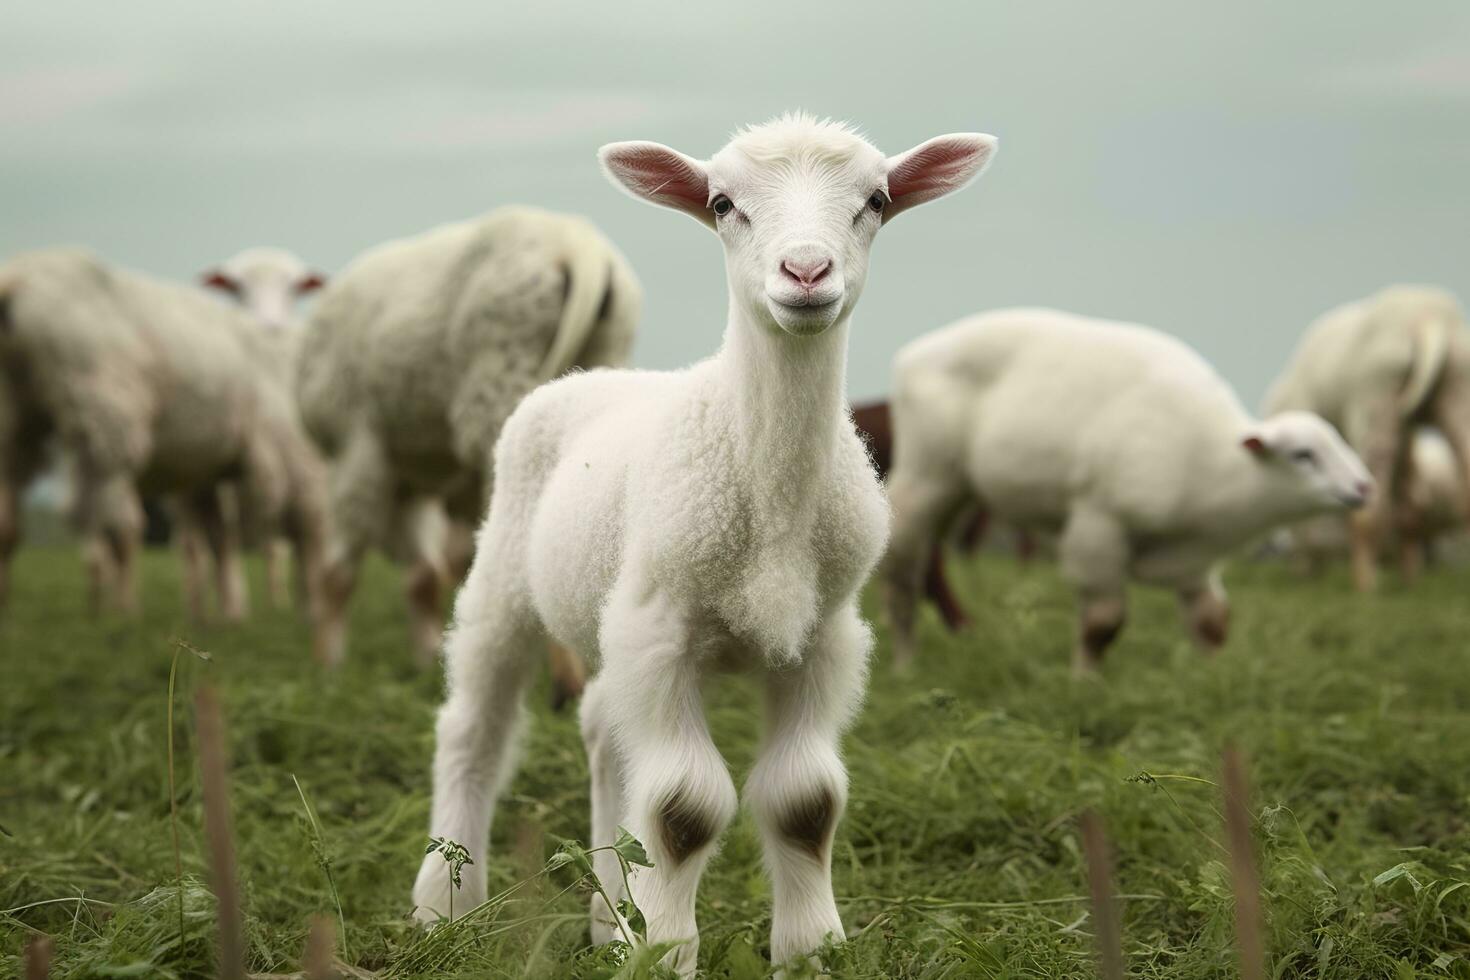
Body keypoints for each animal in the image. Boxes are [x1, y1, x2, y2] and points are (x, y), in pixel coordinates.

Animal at [295, 205, 640, 675]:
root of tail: (574, 243)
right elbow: (427, 576)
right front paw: (428, 659)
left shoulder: (357, 448)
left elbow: (339, 574)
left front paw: (329, 667)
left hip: (499, 400)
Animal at [408, 113, 993, 975]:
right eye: (723, 204)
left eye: (877, 201)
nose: (806, 271)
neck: (773, 505)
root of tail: (593, 375)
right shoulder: (664, 630)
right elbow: (685, 809)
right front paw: (665, 951)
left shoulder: (824, 636)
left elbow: (805, 801)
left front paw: (808, 952)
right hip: (506, 578)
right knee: (473, 731)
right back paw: (444, 906)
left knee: (602, 732)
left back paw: (610, 917)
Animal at [876, 310, 1370, 669]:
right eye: (1303, 455)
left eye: (1339, 441)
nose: (1363, 487)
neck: (1214, 463)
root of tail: (915, 354)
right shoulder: (1098, 526)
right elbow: (1102, 622)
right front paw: (1084, 680)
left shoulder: (1196, 561)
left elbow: (1212, 619)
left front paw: (1213, 677)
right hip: (925, 477)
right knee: (902, 573)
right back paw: (905, 664)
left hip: (959, 491)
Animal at [1264, 283, 1470, 590]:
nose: (1299, 568)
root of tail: (1426, 317)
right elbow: (1410, 501)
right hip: (1455, 391)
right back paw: (1409, 581)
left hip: (1375, 406)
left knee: (1369, 511)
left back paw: (1365, 584)